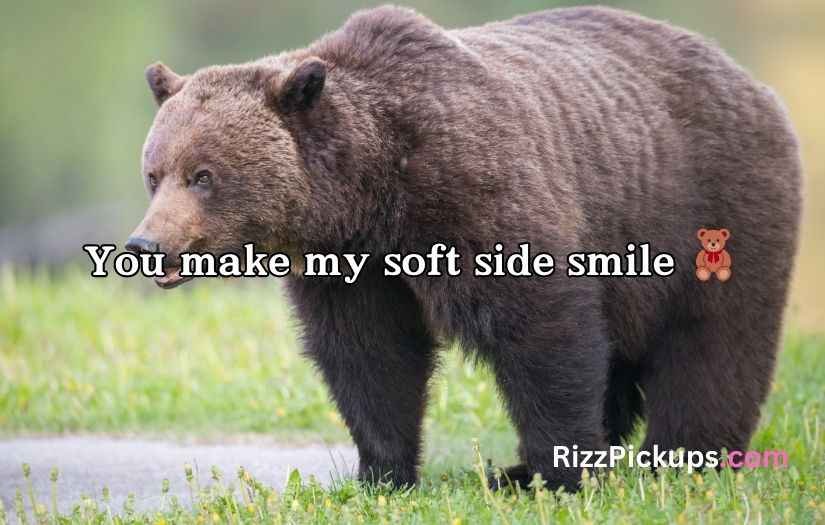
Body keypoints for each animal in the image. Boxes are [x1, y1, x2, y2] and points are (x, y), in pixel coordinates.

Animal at [126, 5, 801, 491]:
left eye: (204, 175)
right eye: (155, 173)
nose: (147, 243)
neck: (374, 190)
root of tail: (749, 79)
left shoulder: (474, 193)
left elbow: (542, 331)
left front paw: (563, 474)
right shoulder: (352, 264)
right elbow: (370, 356)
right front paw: (383, 473)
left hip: (709, 204)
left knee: (712, 346)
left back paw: (681, 462)